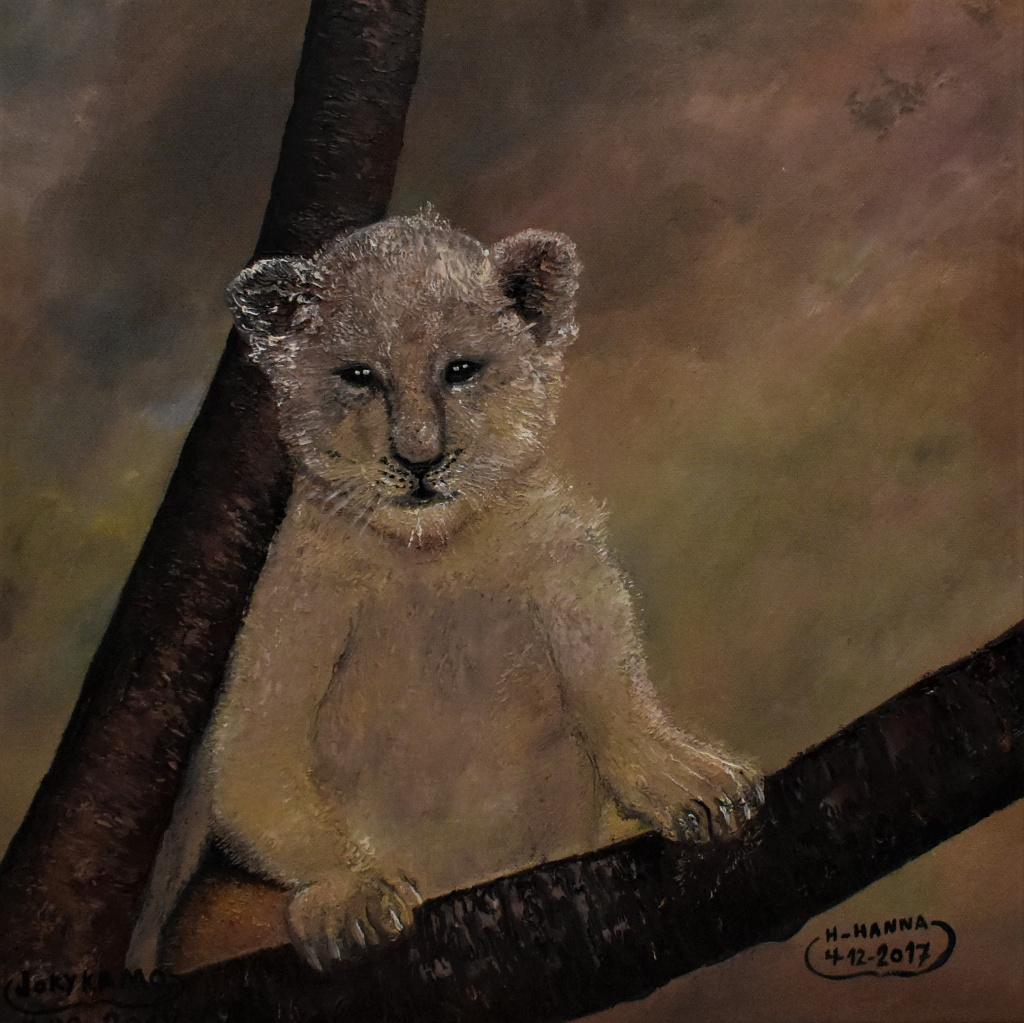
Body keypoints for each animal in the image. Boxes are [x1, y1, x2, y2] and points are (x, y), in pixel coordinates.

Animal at [127, 210, 761, 972]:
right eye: (359, 376)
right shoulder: (282, 625)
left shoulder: (576, 585)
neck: (434, 559)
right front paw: (355, 898)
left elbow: (621, 710)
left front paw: (697, 786)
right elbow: (255, 766)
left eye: (460, 369)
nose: (420, 459)